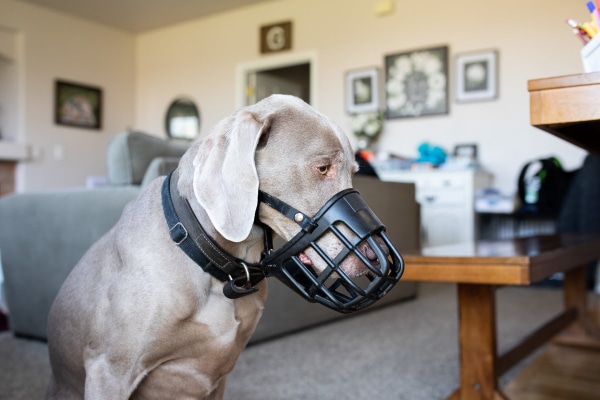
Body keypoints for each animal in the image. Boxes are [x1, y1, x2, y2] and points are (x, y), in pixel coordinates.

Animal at [48, 95, 394, 398]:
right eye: (322, 168)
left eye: (355, 173)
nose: (379, 258)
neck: (215, 265)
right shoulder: (109, 371)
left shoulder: (221, 377)